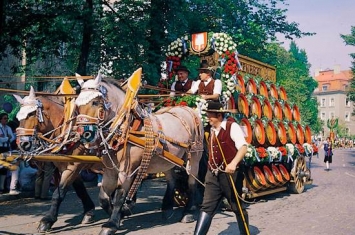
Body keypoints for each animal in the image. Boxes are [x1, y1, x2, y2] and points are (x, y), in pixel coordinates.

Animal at [13, 85, 101, 231]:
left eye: (31, 114)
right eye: (18, 117)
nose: (23, 144)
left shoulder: (74, 166)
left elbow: (58, 193)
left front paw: (47, 220)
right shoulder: (66, 165)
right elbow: (79, 189)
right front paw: (89, 212)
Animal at [73, 70, 204, 235]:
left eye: (95, 102)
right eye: (77, 104)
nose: (82, 133)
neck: (126, 127)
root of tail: (189, 109)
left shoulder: (128, 169)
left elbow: (119, 196)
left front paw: (112, 223)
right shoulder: (110, 170)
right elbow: (103, 197)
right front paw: (120, 215)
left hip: (194, 156)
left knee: (192, 181)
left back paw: (188, 212)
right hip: (166, 160)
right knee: (172, 180)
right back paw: (167, 208)